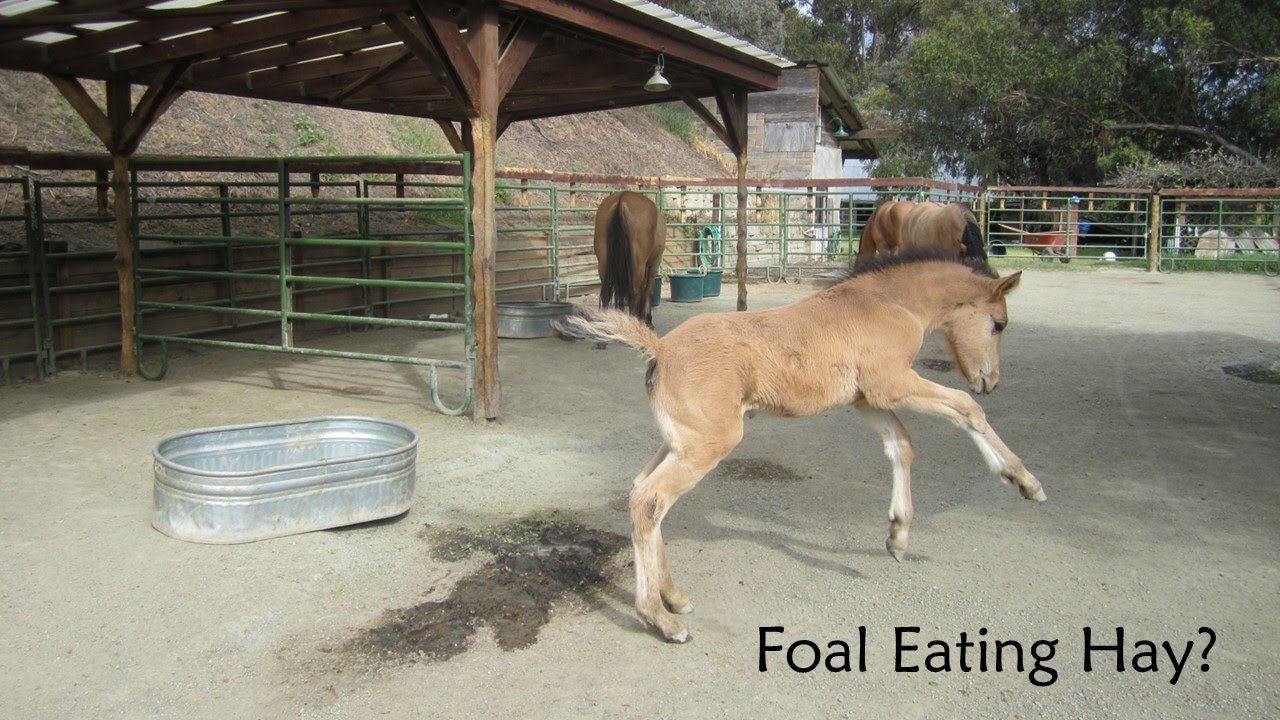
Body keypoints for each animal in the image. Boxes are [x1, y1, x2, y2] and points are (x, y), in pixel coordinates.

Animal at [555, 250, 1043, 643]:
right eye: (998, 324)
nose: (989, 381)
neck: (889, 303)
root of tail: (659, 348)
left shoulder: (867, 399)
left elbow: (901, 446)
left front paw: (898, 536)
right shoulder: (891, 384)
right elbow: (964, 409)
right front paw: (1024, 481)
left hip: (679, 442)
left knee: (641, 491)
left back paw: (673, 596)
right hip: (707, 444)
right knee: (650, 501)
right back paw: (660, 619)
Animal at [593, 191, 666, 326]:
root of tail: (622, 199)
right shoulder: (655, 263)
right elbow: (648, 290)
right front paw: (647, 319)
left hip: (603, 263)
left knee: (606, 293)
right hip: (638, 264)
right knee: (634, 294)